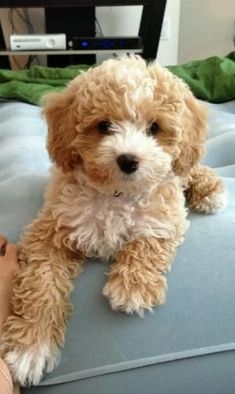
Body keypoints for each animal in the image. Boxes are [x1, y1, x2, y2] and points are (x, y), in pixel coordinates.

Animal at [0, 55, 228, 384]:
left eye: (154, 128)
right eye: (104, 126)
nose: (128, 159)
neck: (117, 194)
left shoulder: (166, 213)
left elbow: (149, 238)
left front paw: (132, 288)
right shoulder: (51, 230)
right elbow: (40, 282)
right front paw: (31, 347)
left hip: (185, 165)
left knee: (194, 168)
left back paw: (210, 191)